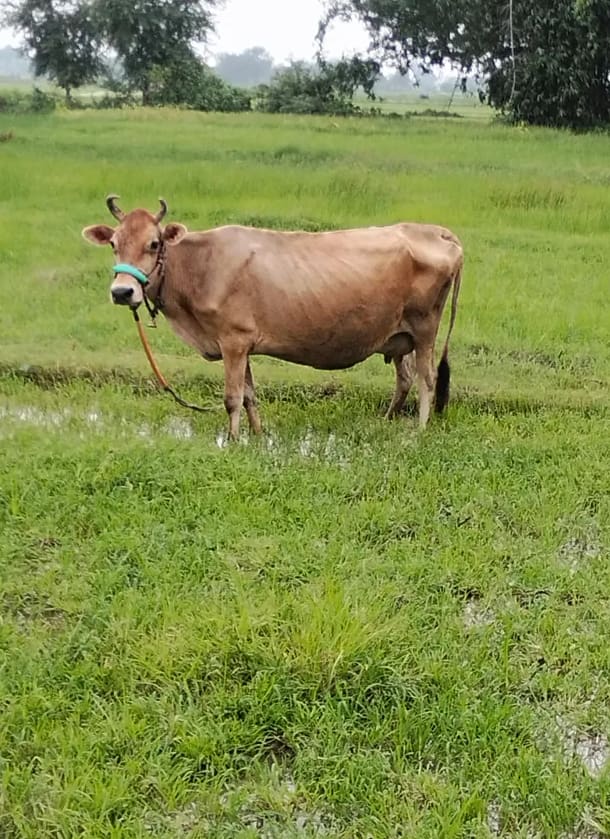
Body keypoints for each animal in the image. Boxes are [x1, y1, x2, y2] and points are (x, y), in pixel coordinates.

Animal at [82, 196, 463, 440]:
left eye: (154, 243)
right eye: (114, 244)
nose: (122, 292)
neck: (199, 265)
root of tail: (438, 231)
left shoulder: (233, 340)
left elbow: (232, 397)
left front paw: (233, 441)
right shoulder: (241, 343)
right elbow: (249, 395)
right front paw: (258, 434)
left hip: (425, 328)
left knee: (427, 379)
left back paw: (419, 431)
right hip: (399, 336)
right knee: (405, 378)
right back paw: (386, 421)